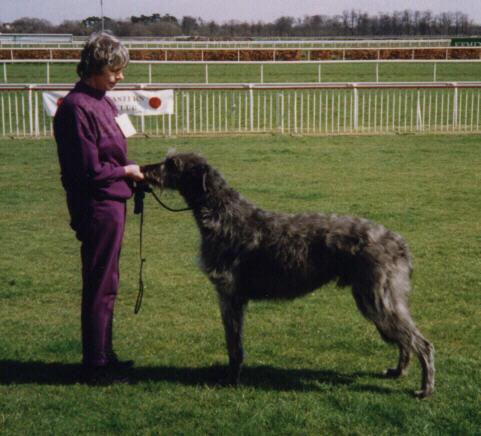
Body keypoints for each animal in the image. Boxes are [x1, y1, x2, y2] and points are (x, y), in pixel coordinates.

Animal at [142, 151, 436, 398]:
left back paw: (426, 388)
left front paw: (231, 379)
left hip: (378, 298)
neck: (222, 213)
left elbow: (234, 345)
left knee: (421, 343)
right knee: (406, 341)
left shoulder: (230, 295)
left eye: (172, 163)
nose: (144, 169)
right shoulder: (231, 296)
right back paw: (399, 371)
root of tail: (399, 242)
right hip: (376, 299)